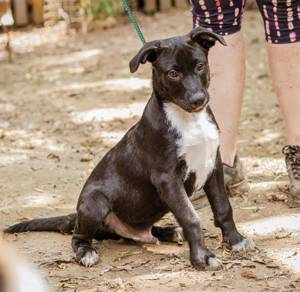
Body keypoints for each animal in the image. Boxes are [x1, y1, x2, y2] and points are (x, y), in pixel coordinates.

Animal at [3, 26, 254, 270]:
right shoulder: (168, 178)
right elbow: (191, 217)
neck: (188, 120)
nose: (198, 99)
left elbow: (223, 207)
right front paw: (202, 258)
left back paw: (169, 231)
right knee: (78, 237)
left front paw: (235, 240)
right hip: (94, 203)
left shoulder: (212, 165)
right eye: (173, 73)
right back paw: (86, 252)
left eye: (200, 66)